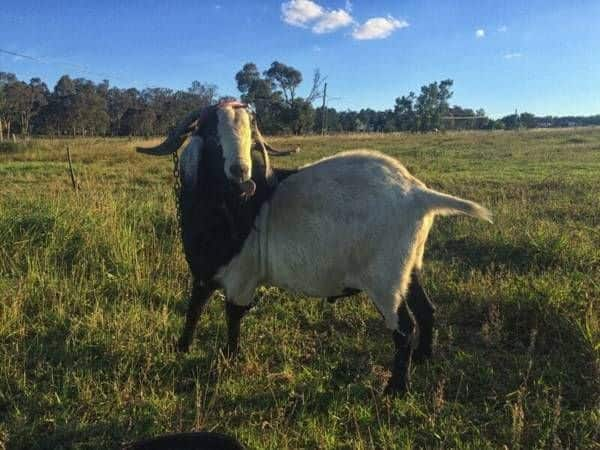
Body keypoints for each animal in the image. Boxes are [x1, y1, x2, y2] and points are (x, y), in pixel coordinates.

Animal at [137, 101, 492, 394]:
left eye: (250, 138)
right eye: (210, 133)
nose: (241, 174)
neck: (234, 207)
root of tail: (418, 194)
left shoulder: (241, 277)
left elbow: (232, 316)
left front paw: (228, 359)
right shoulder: (205, 270)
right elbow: (194, 307)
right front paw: (181, 348)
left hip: (385, 280)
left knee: (404, 327)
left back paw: (396, 388)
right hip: (409, 268)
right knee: (427, 310)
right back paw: (422, 359)